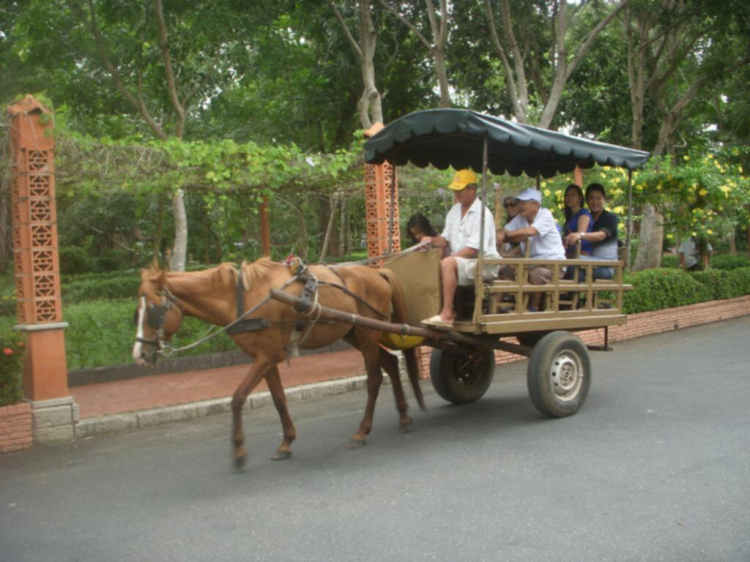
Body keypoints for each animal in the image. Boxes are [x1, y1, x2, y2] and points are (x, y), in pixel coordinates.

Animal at [133, 260, 426, 468]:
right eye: (137, 311)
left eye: (152, 310)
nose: (139, 355)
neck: (243, 299)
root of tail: (377, 273)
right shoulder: (265, 357)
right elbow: (278, 398)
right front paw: (286, 443)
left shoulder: (266, 357)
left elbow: (238, 398)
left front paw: (239, 450)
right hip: (354, 332)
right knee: (390, 363)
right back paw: (404, 417)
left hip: (367, 334)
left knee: (374, 379)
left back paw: (362, 432)